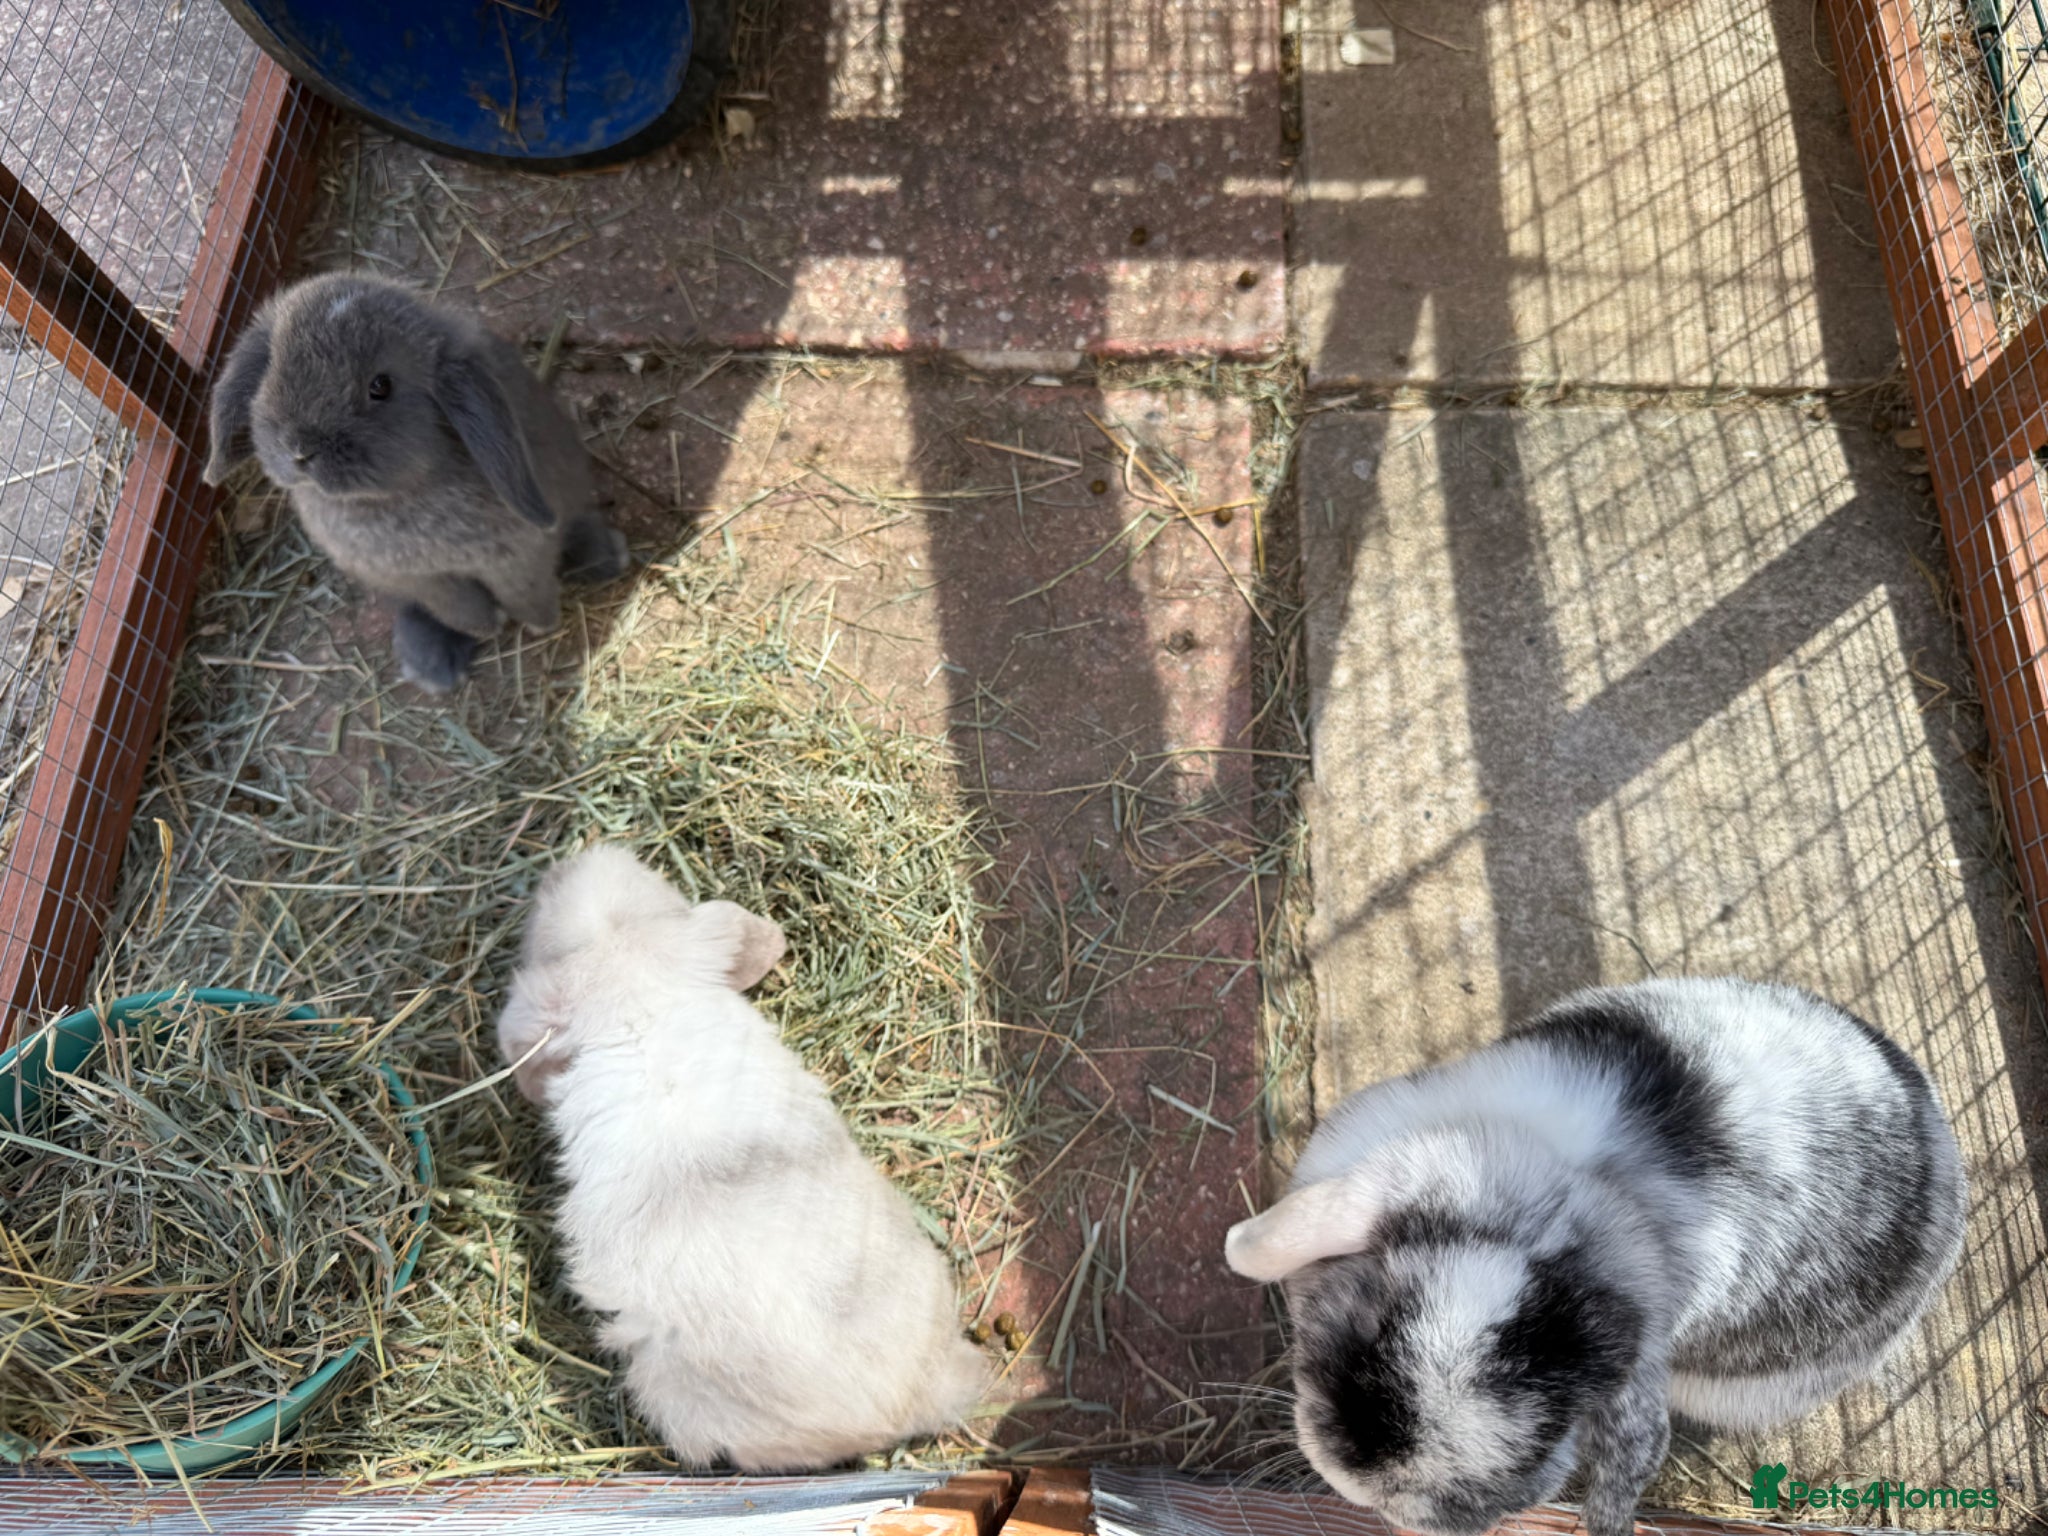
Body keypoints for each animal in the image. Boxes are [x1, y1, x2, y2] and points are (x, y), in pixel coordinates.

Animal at [201, 272, 630, 692]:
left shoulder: (518, 557)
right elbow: (461, 609)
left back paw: (607, 556)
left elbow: (528, 593)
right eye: (271, 370)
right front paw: (488, 627)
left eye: (381, 386)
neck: (388, 497)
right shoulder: (424, 580)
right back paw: (432, 667)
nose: (300, 450)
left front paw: (541, 622)